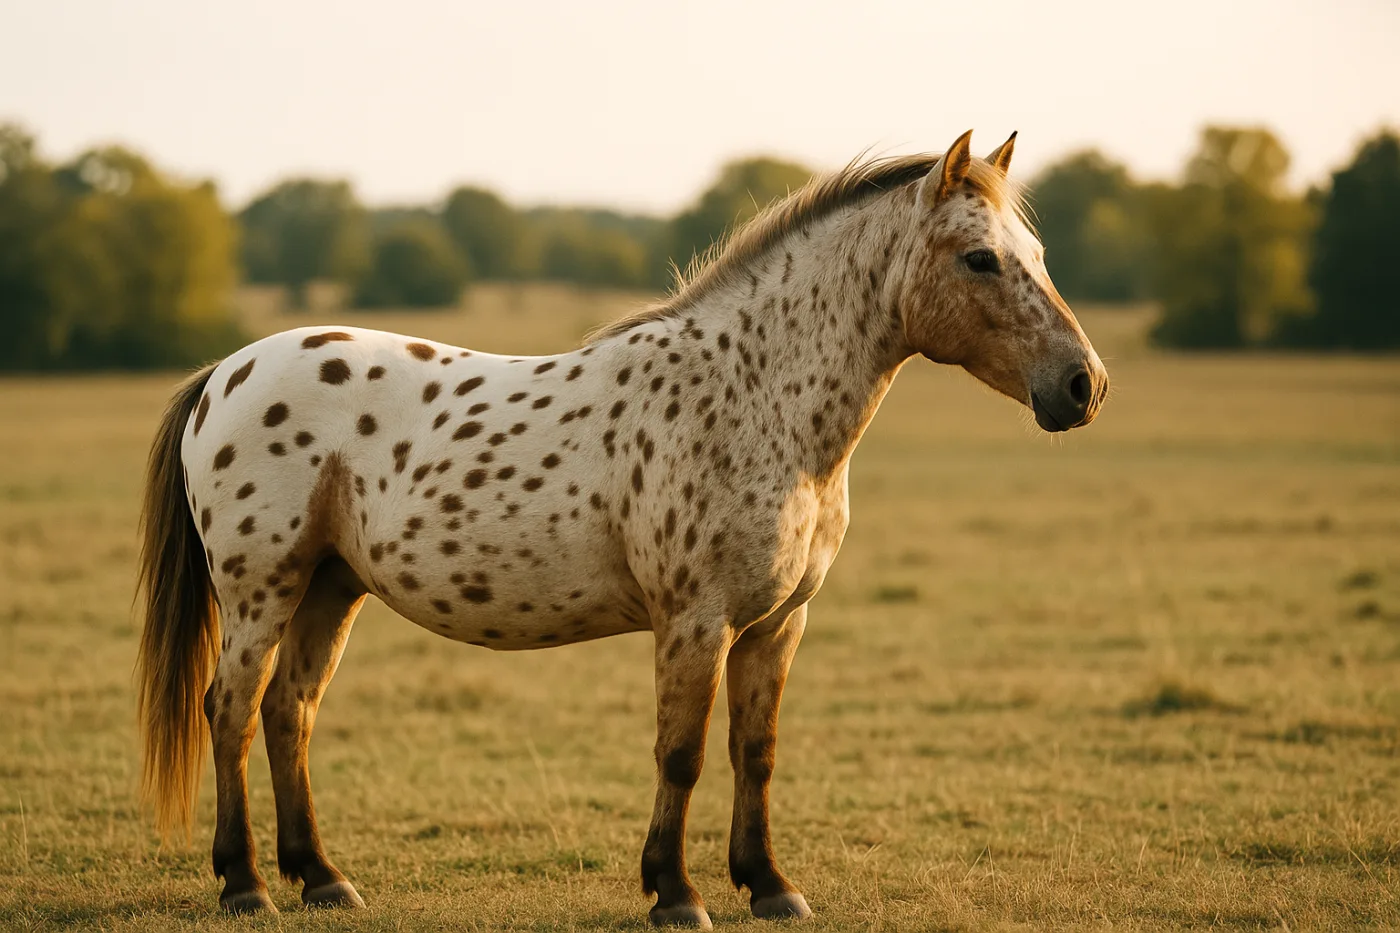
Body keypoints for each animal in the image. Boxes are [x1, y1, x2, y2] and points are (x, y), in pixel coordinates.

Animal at [136, 129, 1108, 928]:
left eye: (1037, 252)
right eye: (980, 258)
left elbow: (755, 751)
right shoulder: (695, 621)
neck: (754, 399)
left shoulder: (778, 623)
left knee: (288, 711)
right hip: (263, 589)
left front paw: (770, 885)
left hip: (330, 587)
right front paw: (675, 893)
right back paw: (245, 884)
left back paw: (322, 877)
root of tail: (226, 371)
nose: (1083, 384)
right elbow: (680, 753)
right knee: (232, 708)